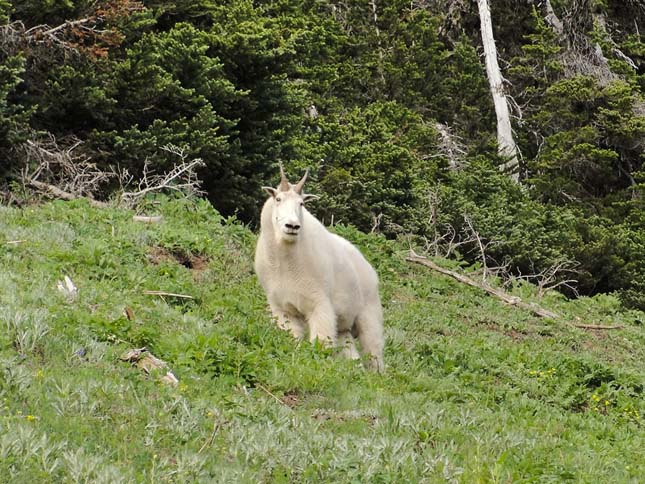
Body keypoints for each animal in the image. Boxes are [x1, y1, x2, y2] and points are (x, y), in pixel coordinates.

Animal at [254, 164, 384, 372]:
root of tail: (369, 268)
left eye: (301, 204)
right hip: (344, 328)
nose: (292, 226)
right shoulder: (283, 309)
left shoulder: (319, 303)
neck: (286, 262)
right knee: (350, 351)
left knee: (374, 350)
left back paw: (377, 375)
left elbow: (321, 342)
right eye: (278, 199)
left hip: (369, 313)